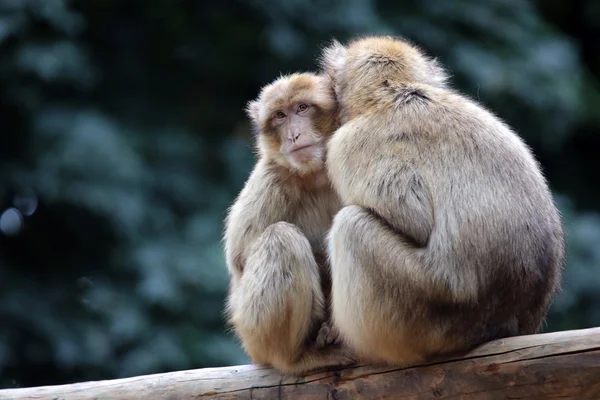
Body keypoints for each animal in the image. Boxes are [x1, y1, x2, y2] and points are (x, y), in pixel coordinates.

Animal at [225, 72, 356, 376]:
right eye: (280, 116)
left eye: (302, 108)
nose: (293, 134)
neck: (316, 174)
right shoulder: (271, 178)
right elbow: (239, 260)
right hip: (252, 333)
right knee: (281, 238)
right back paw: (295, 359)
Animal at [316, 36, 564, 366]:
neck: (393, 92)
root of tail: (504, 324)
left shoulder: (345, 145)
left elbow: (414, 219)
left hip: (425, 311)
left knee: (351, 226)